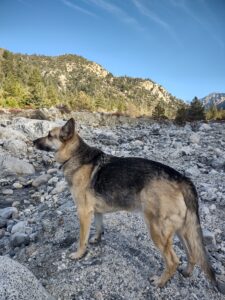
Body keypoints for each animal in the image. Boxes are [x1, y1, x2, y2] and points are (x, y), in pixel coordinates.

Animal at [33, 117, 225, 292]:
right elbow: (98, 227)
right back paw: (186, 273)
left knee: (173, 261)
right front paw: (96, 239)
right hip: (181, 230)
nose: (32, 141)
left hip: (157, 230)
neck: (74, 155)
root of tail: (182, 179)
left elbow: (82, 239)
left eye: (49, 135)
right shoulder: (95, 212)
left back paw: (161, 282)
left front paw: (79, 254)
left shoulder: (83, 212)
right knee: (192, 254)